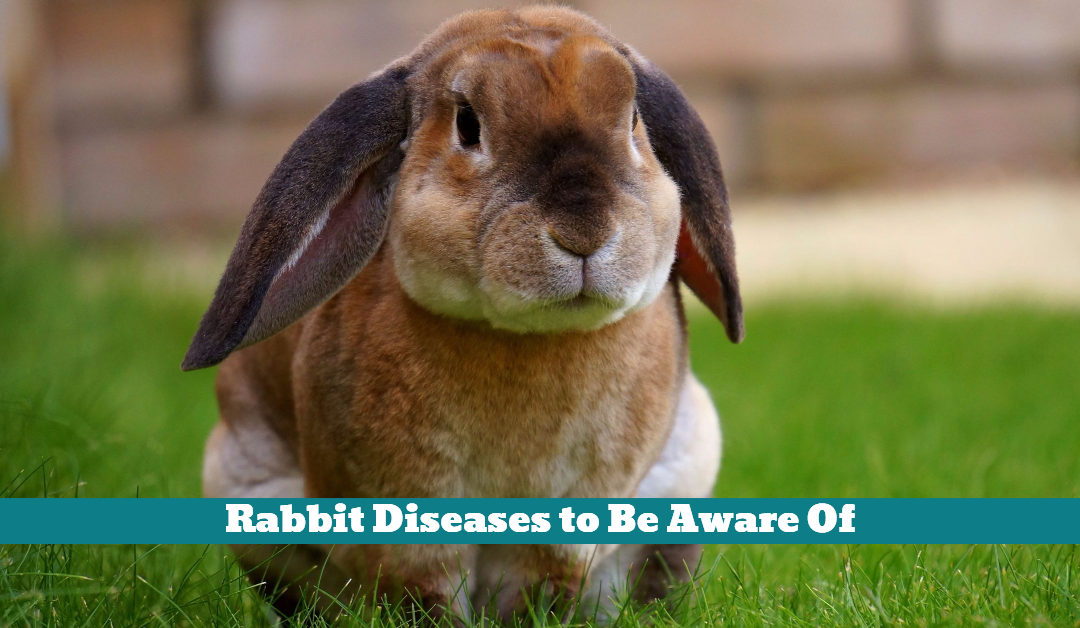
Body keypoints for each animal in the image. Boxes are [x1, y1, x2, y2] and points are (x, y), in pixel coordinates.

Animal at [183, 5, 742, 623]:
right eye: (468, 125)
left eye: (634, 118)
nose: (583, 232)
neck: (526, 338)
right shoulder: (406, 515)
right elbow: (423, 592)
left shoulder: (573, 517)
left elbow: (540, 587)